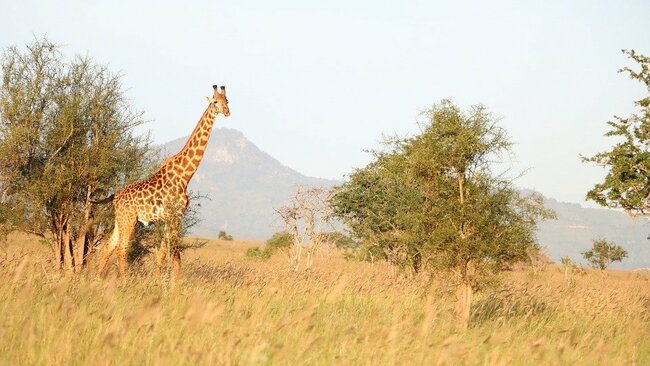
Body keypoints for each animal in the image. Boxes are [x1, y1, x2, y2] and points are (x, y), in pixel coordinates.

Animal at [95, 83, 229, 278]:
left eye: (227, 101)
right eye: (215, 102)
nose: (227, 111)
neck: (185, 175)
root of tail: (115, 197)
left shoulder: (168, 218)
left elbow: (163, 252)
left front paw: (159, 280)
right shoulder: (176, 215)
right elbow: (176, 254)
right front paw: (175, 283)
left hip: (120, 220)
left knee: (108, 246)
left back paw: (98, 278)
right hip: (129, 219)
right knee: (121, 248)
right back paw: (123, 280)